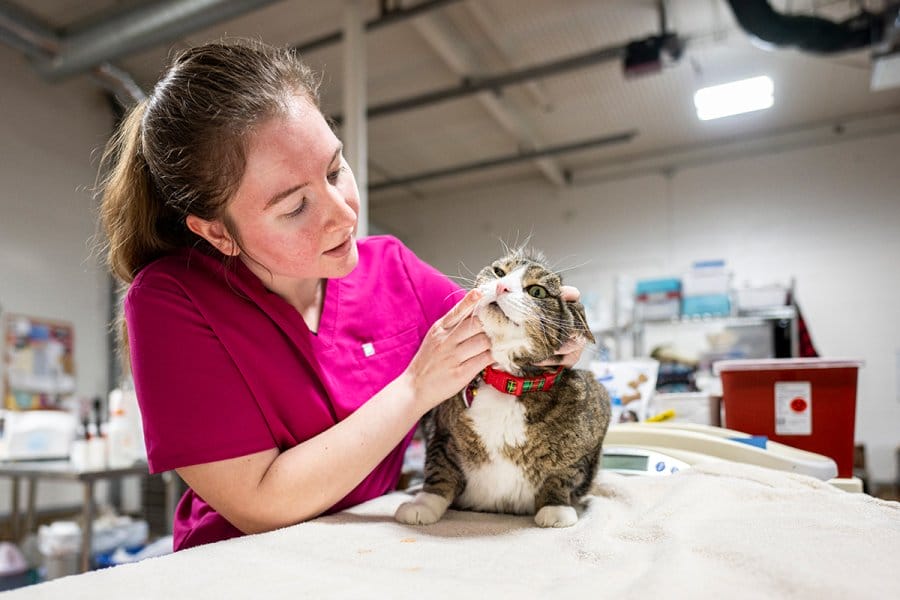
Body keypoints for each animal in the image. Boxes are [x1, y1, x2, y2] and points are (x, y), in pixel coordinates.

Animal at [396, 248, 612, 528]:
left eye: (537, 291)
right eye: (499, 272)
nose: (502, 286)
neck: (507, 383)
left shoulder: (594, 414)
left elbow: (563, 473)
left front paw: (555, 508)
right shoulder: (441, 428)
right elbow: (439, 467)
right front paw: (423, 504)